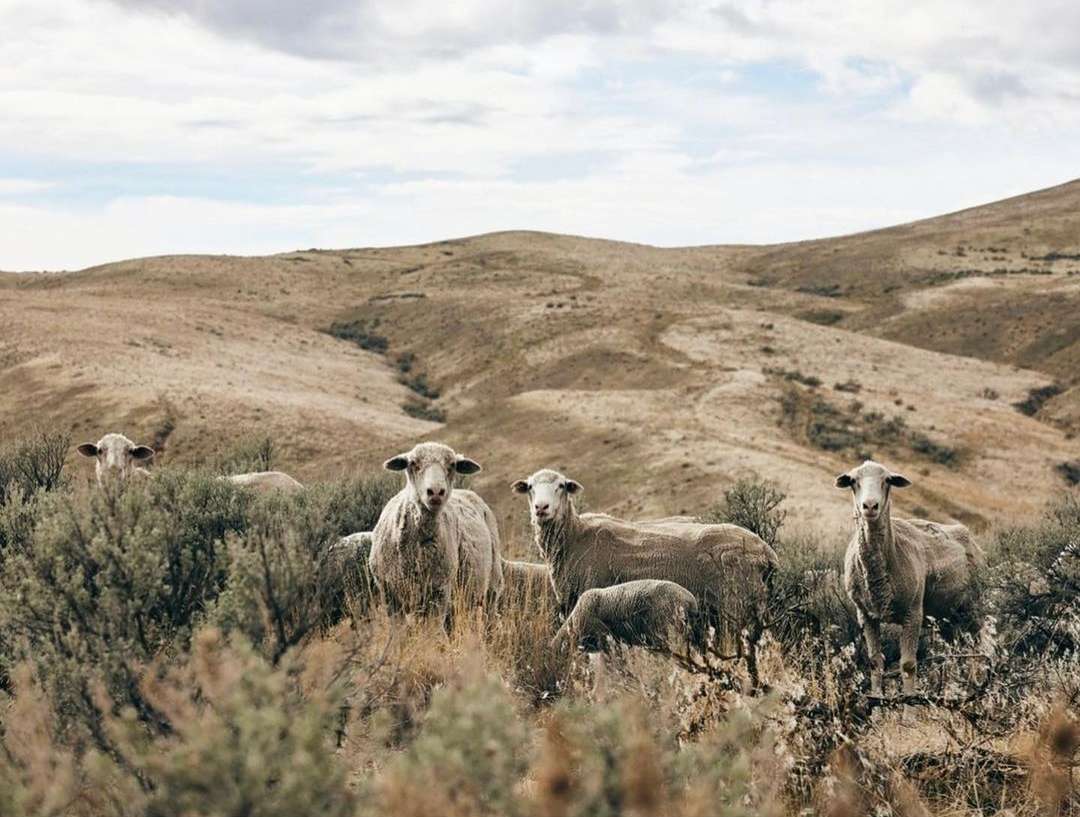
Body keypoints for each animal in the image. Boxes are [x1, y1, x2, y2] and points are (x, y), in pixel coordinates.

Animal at [369, 442, 503, 627]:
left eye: (452, 465)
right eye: (413, 463)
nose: (436, 492)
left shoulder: (438, 592)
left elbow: (431, 631)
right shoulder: (390, 597)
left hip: (491, 584)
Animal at [836, 459, 985, 697]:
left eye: (887, 480)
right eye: (853, 481)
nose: (870, 506)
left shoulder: (913, 613)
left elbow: (907, 664)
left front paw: (909, 700)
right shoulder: (866, 615)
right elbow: (875, 661)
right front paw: (876, 697)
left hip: (973, 606)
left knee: (978, 648)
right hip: (948, 615)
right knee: (955, 651)